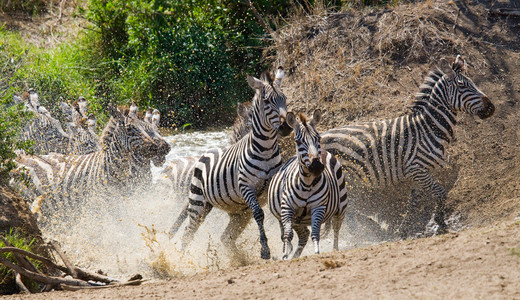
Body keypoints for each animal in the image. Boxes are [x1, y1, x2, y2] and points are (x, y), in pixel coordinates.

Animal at [171, 67, 292, 258]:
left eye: (284, 99)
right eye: (267, 101)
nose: (286, 127)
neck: (265, 150)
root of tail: (203, 155)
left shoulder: (275, 185)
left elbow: (279, 210)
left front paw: (285, 243)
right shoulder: (246, 186)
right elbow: (260, 214)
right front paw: (265, 250)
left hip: (239, 213)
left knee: (225, 237)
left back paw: (238, 259)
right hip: (198, 204)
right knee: (188, 233)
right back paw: (180, 260)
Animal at [268, 111, 350, 258]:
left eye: (318, 138)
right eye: (298, 141)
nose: (316, 166)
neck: (306, 184)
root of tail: (325, 151)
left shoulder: (318, 207)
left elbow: (315, 233)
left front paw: (317, 252)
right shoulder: (287, 208)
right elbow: (287, 235)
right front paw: (285, 256)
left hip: (341, 207)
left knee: (336, 228)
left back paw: (335, 250)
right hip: (295, 220)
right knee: (301, 234)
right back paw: (294, 255)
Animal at [318, 55, 494, 237]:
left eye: (472, 83)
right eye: (462, 85)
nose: (491, 108)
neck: (428, 128)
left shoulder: (419, 172)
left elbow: (414, 202)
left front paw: (404, 229)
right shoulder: (415, 168)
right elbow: (439, 192)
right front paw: (441, 222)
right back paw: (373, 228)